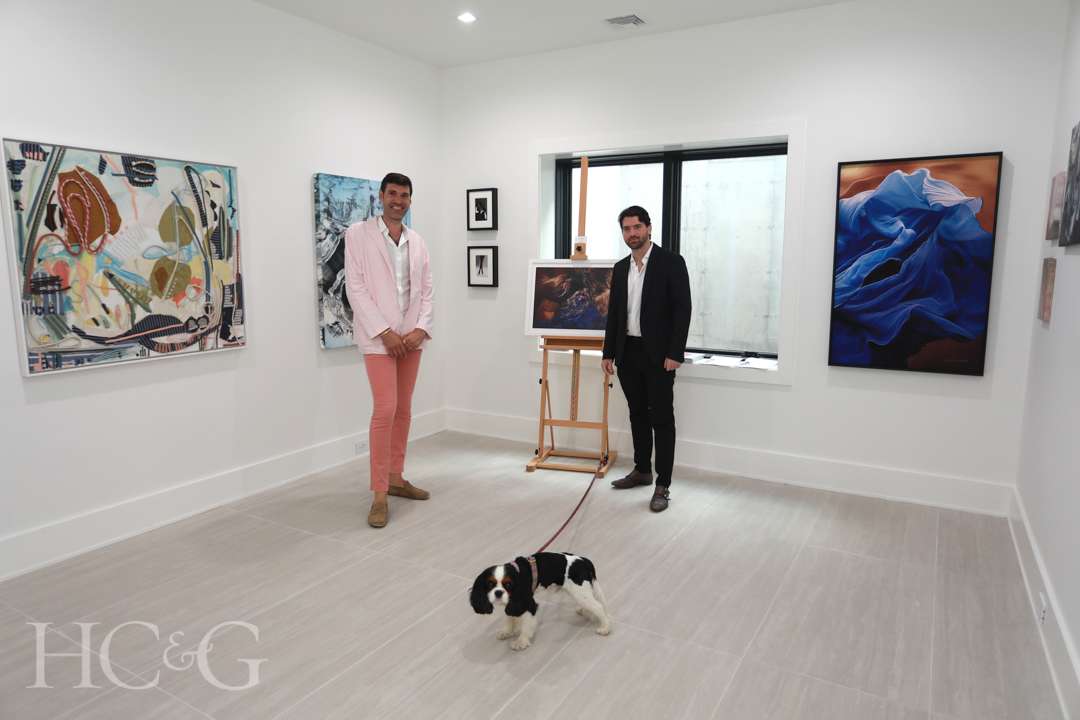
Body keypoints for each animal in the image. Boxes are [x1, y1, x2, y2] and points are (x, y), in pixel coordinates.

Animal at [469, 552, 611, 650]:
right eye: (490, 584)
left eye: (508, 584)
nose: (498, 592)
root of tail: (584, 560)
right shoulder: (512, 604)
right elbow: (509, 618)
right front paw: (506, 632)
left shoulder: (527, 603)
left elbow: (526, 625)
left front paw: (521, 642)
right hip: (578, 592)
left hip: (579, 592)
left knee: (598, 606)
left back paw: (605, 628)